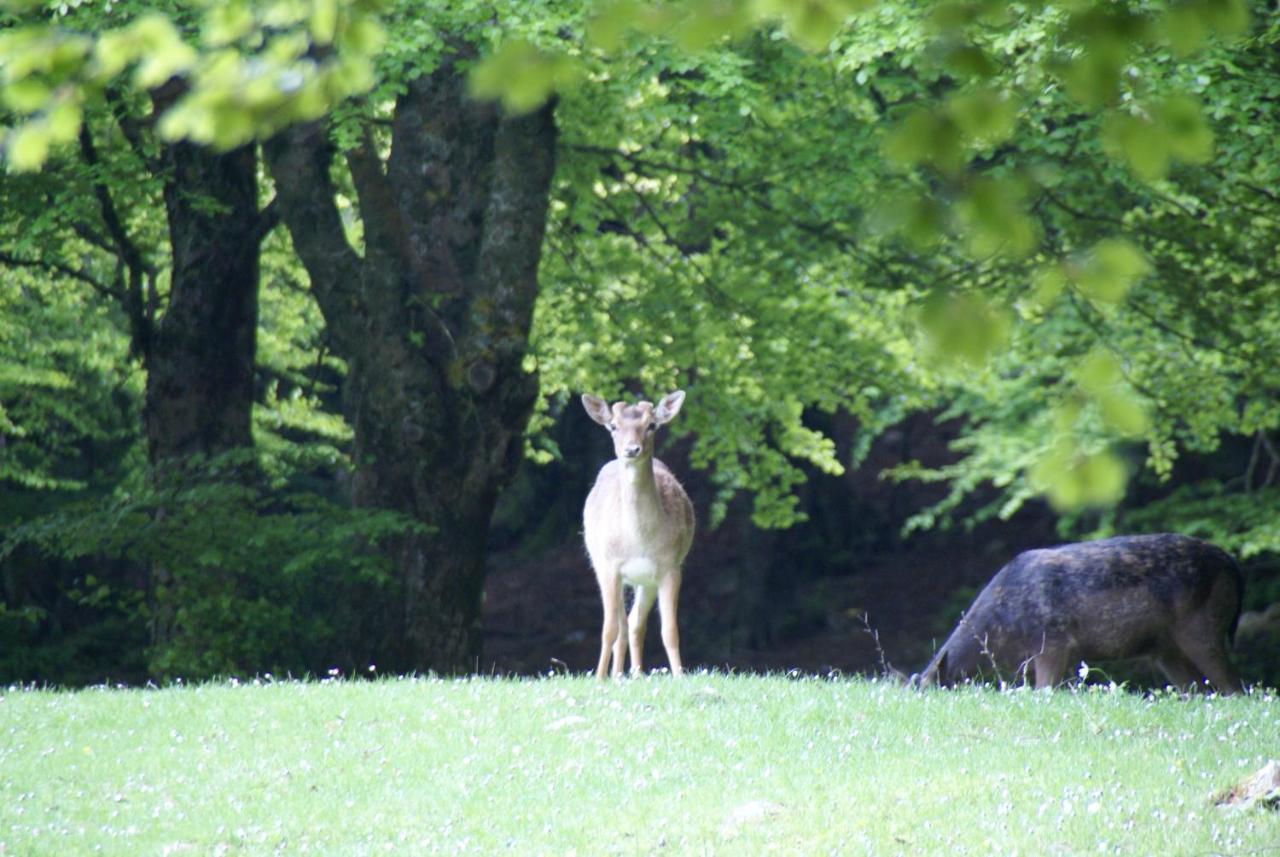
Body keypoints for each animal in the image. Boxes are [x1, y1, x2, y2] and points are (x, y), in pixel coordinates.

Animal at [583, 393, 696, 680]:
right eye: (613, 426)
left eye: (651, 425)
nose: (632, 449)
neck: (638, 540)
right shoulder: (610, 566)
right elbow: (608, 629)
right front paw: (599, 677)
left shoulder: (670, 567)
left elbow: (670, 629)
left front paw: (680, 675)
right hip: (601, 564)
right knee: (621, 626)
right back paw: (616, 675)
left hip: (645, 580)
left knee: (633, 623)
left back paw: (634, 673)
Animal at [916, 534, 1244, 695]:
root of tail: (1231, 565)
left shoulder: (1055, 642)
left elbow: (1043, 691)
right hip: (1165, 649)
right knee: (1197, 688)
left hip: (1202, 626)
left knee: (1234, 686)